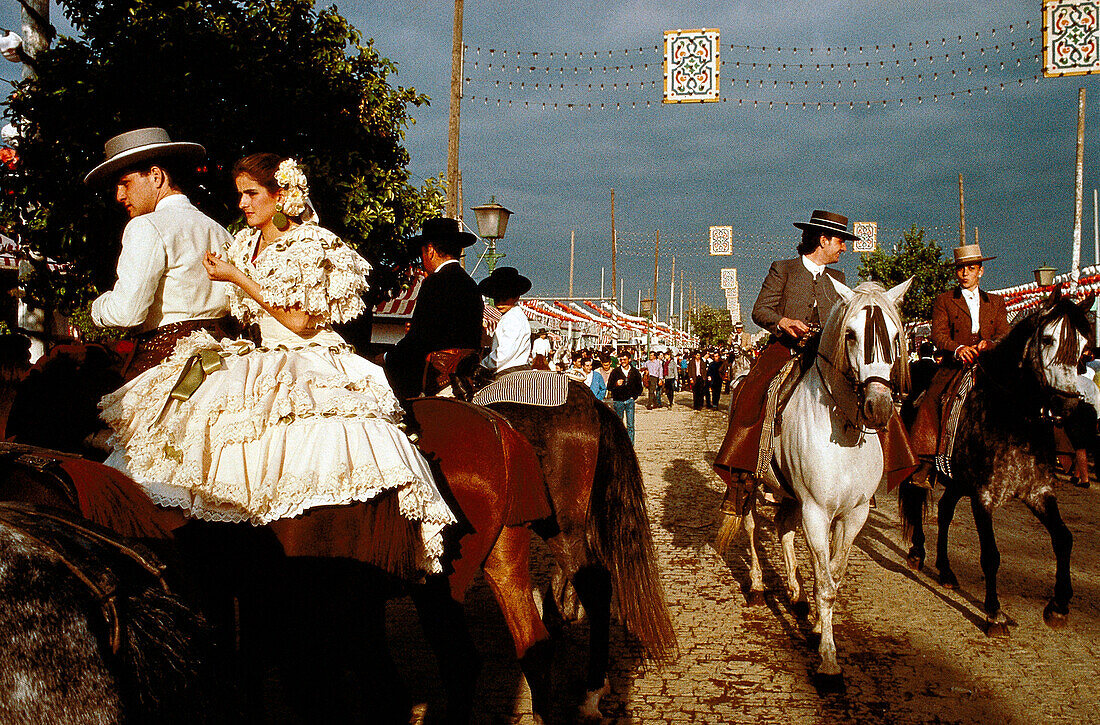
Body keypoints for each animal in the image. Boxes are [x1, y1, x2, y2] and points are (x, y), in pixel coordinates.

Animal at [712, 276, 910, 682]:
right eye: (850, 334)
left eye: (896, 335)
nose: (879, 407)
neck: (844, 432)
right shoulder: (817, 512)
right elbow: (827, 585)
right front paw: (829, 661)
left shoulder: (853, 514)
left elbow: (832, 575)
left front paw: (819, 624)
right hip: (753, 485)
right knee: (752, 528)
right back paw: (758, 585)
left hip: (790, 495)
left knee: (784, 530)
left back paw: (796, 594)